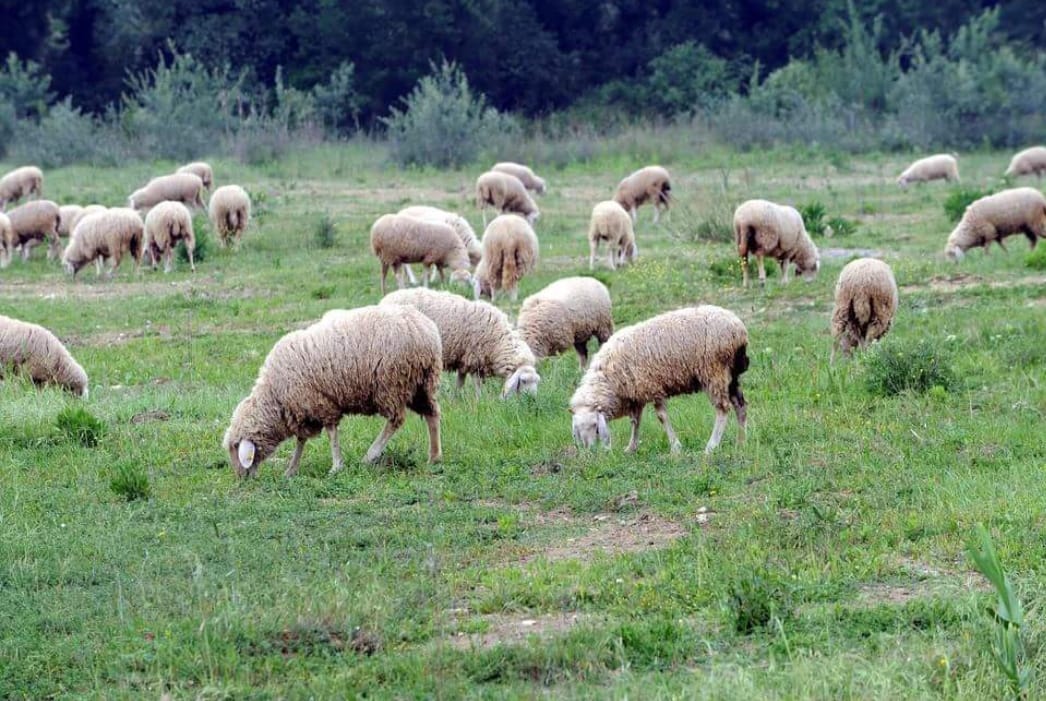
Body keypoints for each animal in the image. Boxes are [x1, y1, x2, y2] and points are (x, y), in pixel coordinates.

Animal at [222, 305, 443, 478]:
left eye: (235, 449)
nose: (241, 478)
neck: (275, 396)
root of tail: (425, 330)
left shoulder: (320, 404)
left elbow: (331, 435)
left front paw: (336, 466)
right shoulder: (303, 411)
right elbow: (301, 441)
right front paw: (291, 469)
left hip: (392, 384)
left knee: (395, 420)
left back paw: (370, 455)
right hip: (421, 384)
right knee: (432, 414)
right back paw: (434, 457)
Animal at [382, 287, 540, 397]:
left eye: (536, 381)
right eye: (523, 381)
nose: (532, 400)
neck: (498, 341)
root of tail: (386, 300)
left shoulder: (464, 359)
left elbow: (460, 382)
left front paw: (455, 399)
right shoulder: (476, 358)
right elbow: (477, 384)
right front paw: (479, 401)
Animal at [570, 305, 748, 455]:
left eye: (595, 427)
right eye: (577, 431)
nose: (590, 452)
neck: (610, 380)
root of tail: (738, 329)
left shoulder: (653, 386)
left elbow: (661, 417)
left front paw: (675, 447)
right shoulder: (637, 394)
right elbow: (635, 421)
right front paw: (631, 447)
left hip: (714, 371)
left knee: (723, 408)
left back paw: (711, 446)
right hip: (731, 375)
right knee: (740, 405)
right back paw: (740, 443)